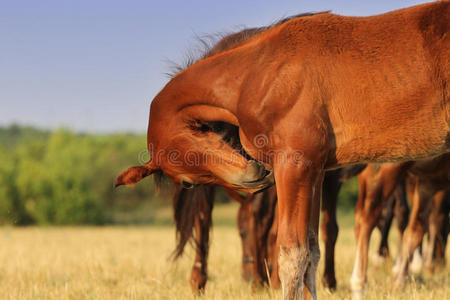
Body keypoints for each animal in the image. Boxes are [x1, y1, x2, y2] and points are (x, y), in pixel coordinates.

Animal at [117, 2, 450, 298]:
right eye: (187, 183)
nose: (255, 175)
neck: (257, 74)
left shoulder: (294, 165)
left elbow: (292, 254)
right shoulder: (316, 171)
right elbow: (312, 252)